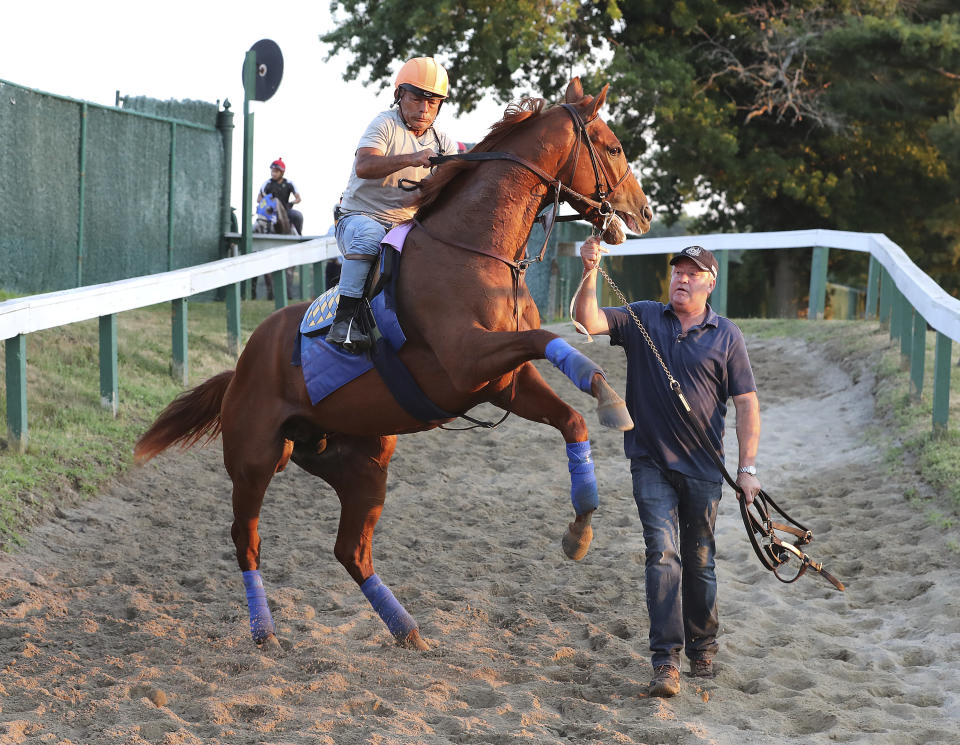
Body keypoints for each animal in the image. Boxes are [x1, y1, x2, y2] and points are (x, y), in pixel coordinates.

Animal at [135, 78, 652, 652]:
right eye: (614, 148)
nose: (644, 212)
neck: (474, 250)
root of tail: (242, 367)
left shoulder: (503, 383)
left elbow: (571, 419)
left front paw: (580, 528)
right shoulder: (466, 360)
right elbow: (547, 340)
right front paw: (607, 394)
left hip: (362, 462)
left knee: (350, 551)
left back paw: (408, 631)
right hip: (255, 460)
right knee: (246, 540)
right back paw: (265, 632)